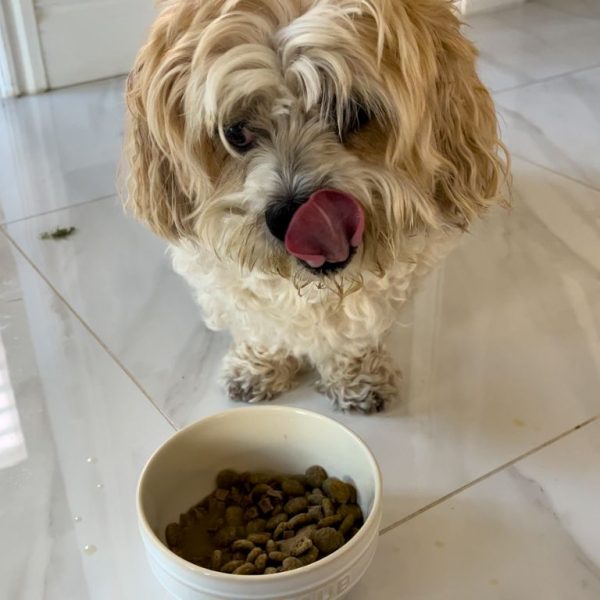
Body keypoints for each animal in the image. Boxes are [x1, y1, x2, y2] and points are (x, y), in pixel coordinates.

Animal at [124, 0, 508, 412]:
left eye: (352, 112)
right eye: (235, 132)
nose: (290, 216)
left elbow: (355, 328)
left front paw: (357, 375)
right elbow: (260, 321)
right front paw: (259, 366)